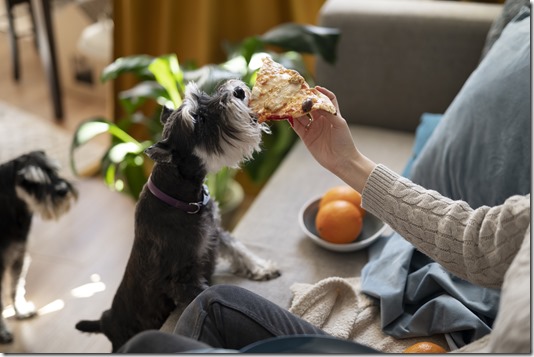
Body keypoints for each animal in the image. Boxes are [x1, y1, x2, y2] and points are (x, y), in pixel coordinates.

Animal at [0, 150, 78, 342]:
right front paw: (3, 330)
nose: (62, 190)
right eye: (30, 182)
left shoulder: (19, 257)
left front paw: (20, 311)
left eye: (54, 170)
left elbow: (15, 287)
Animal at [78, 79, 284, 350]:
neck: (182, 199)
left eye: (201, 96)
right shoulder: (183, 279)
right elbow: (204, 291)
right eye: (199, 119)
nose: (238, 91)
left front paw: (261, 268)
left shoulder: (215, 234)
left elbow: (238, 249)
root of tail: (106, 321)